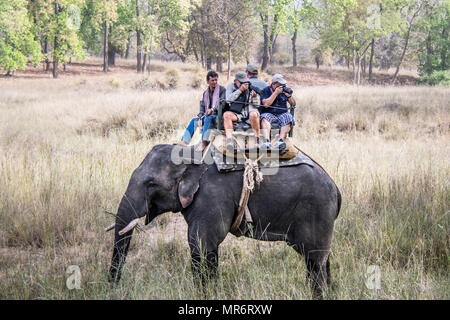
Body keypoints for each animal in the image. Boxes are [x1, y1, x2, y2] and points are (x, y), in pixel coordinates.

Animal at [108, 144, 342, 298]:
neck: (191, 154)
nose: (112, 288)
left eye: (151, 184)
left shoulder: (211, 196)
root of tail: (336, 188)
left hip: (316, 209)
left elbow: (200, 245)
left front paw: (203, 296)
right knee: (320, 259)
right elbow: (209, 250)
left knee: (315, 260)